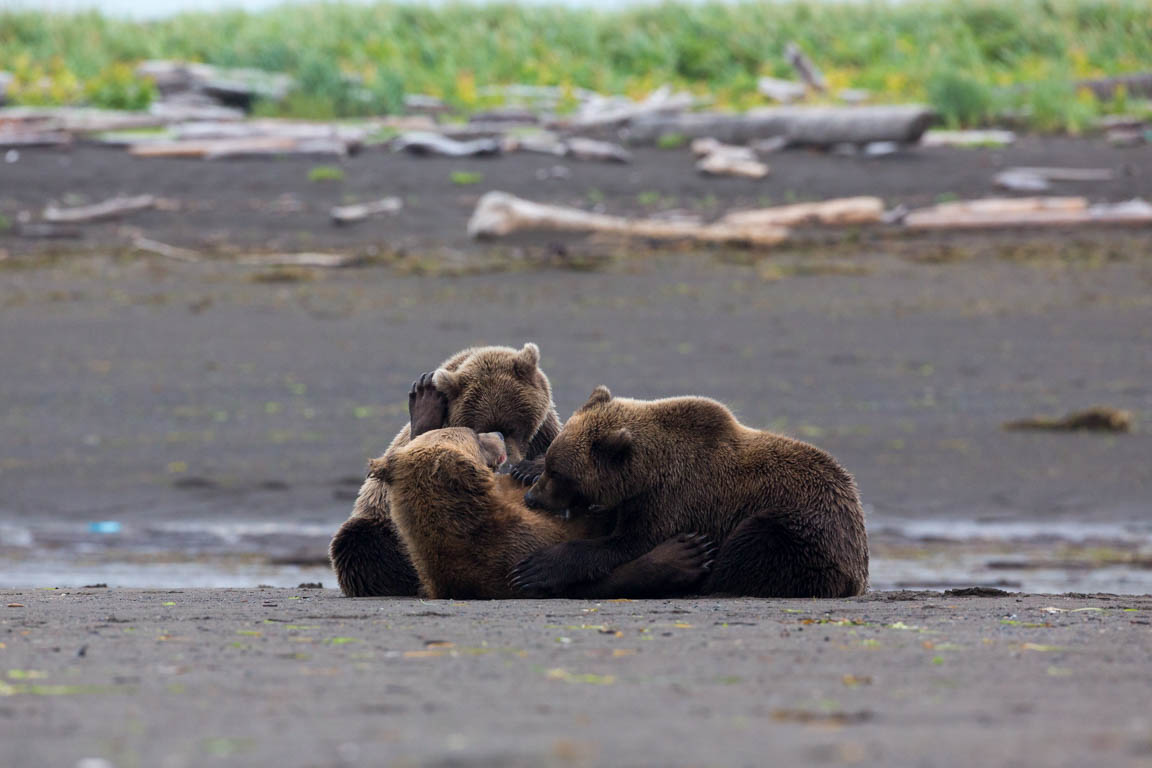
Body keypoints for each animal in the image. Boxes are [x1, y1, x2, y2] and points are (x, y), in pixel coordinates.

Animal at [329, 343, 562, 598]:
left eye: (514, 427)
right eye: (481, 427)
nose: (507, 466)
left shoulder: (544, 435)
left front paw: (530, 470)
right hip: (377, 521)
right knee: (360, 542)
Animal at [513, 386, 866, 598]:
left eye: (559, 474)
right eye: (550, 465)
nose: (532, 498)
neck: (647, 473)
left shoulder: (678, 498)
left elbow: (627, 543)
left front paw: (537, 567)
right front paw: (525, 468)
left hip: (801, 528)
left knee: (753, 544)